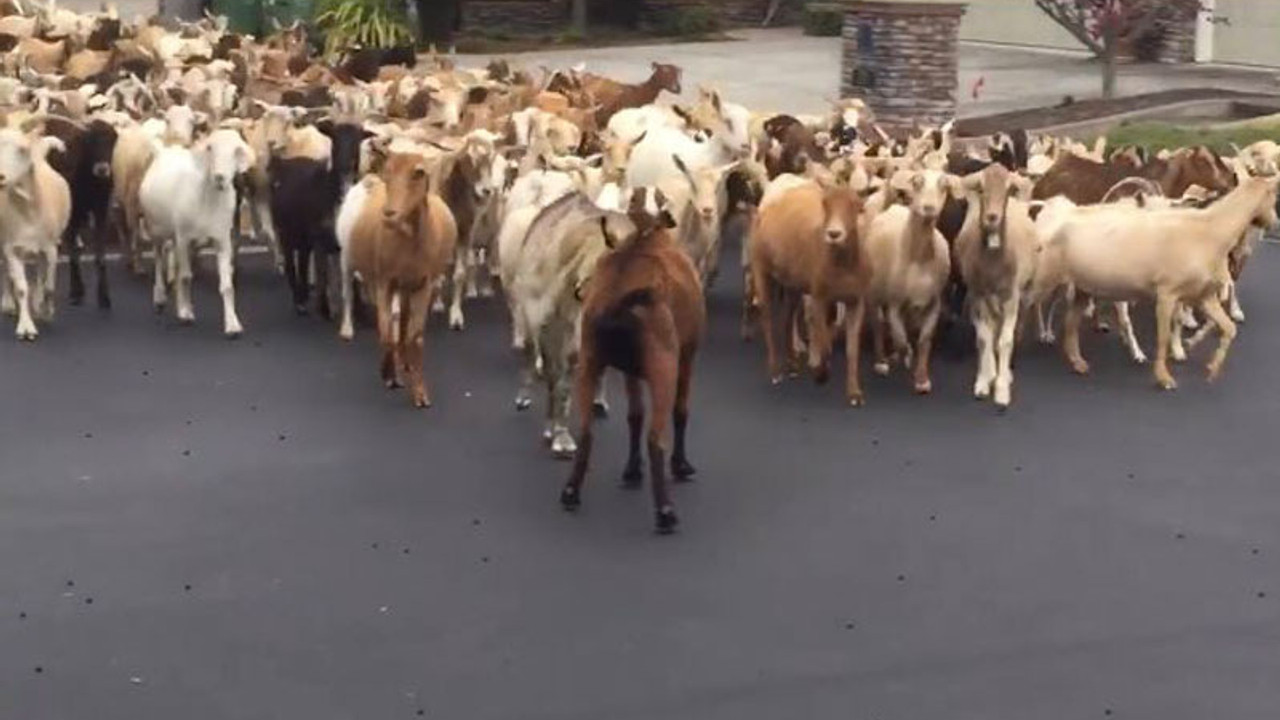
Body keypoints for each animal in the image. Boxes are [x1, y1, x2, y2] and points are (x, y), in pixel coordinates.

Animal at [563, 188, 706, 530]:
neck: (645, 236)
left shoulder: (630, 373)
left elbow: (634, 416)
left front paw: (631, 470)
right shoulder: (687, 358)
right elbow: (681, 412)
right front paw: (681, 465)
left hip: (588, 367)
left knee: (586, 433)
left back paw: (572, 491)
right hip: (664, 372)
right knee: (656, 439)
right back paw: (665, 510)